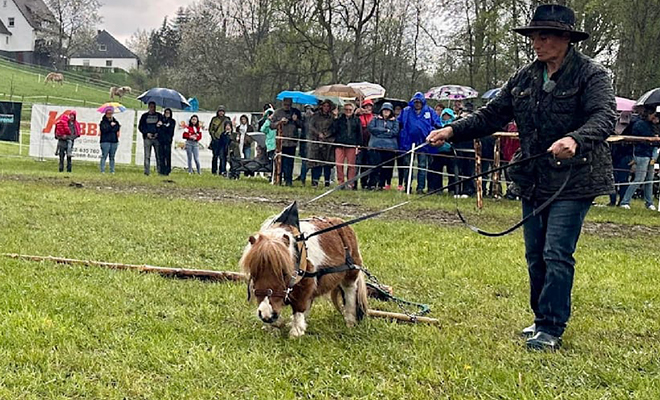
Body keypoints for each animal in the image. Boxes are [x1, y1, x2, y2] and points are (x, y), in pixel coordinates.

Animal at [240, 216, 368, 338]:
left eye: (284, 273)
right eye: (254, 273)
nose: (267, 316)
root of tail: (343, 224)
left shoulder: (305, 286)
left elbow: (299, 306)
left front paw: (296, 332)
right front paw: (275, 326)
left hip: (350, 276)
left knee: (350, 292)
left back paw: (350, 321)